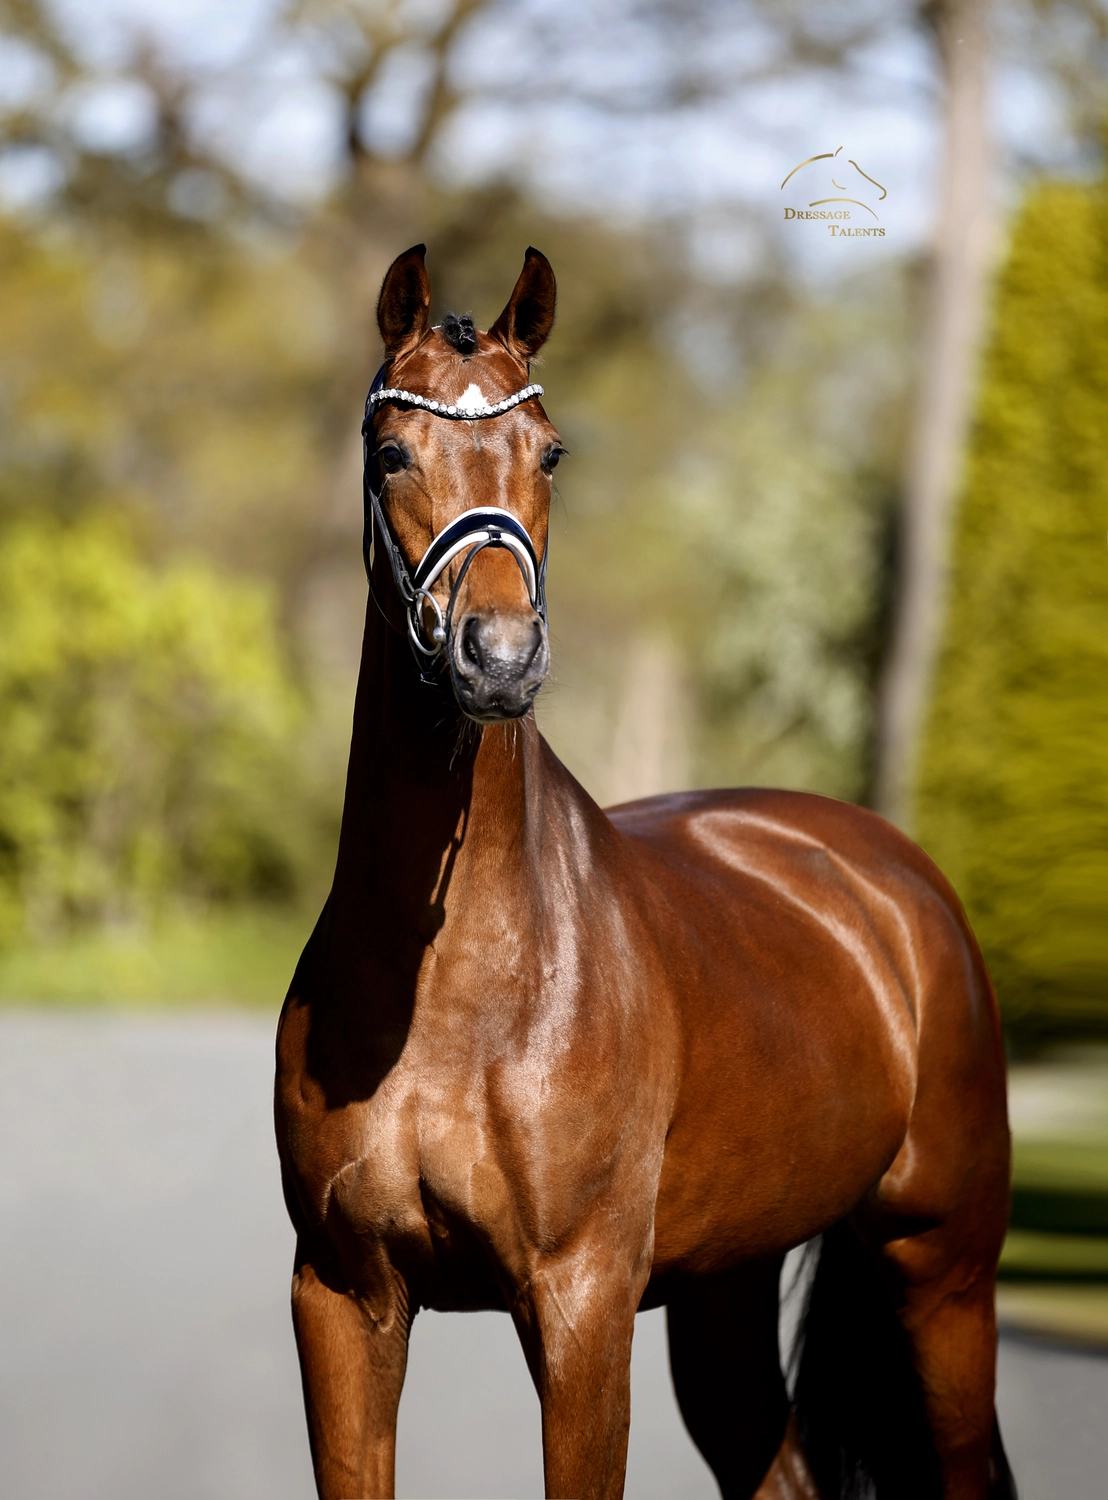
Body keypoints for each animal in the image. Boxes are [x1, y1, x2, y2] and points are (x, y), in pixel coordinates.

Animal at [275, 244, 1016, 1500]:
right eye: (392, 452)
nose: (498, 658)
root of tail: (893, 880)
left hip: (942, 1276)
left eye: (550, 451)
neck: (459, 983)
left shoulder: (581, 1304)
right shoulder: (343, 1296)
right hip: (727, 1286)